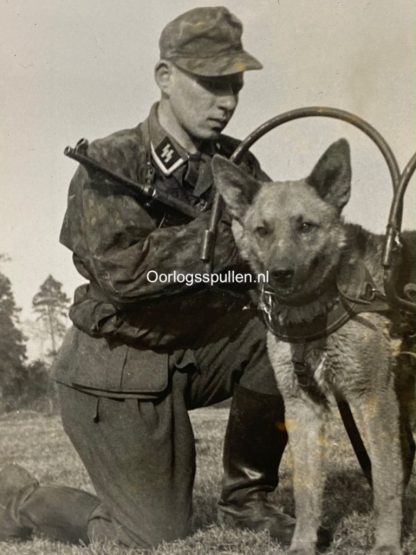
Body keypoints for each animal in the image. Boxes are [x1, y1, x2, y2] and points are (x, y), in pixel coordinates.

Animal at [213, 140, 414, 555]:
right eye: (262, 230)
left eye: (305, 226)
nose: (280, 274)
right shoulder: (302, 408)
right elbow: (307, 492)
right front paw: (303, 544)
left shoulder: (373, 399)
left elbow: (385, 482)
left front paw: (387, 544)